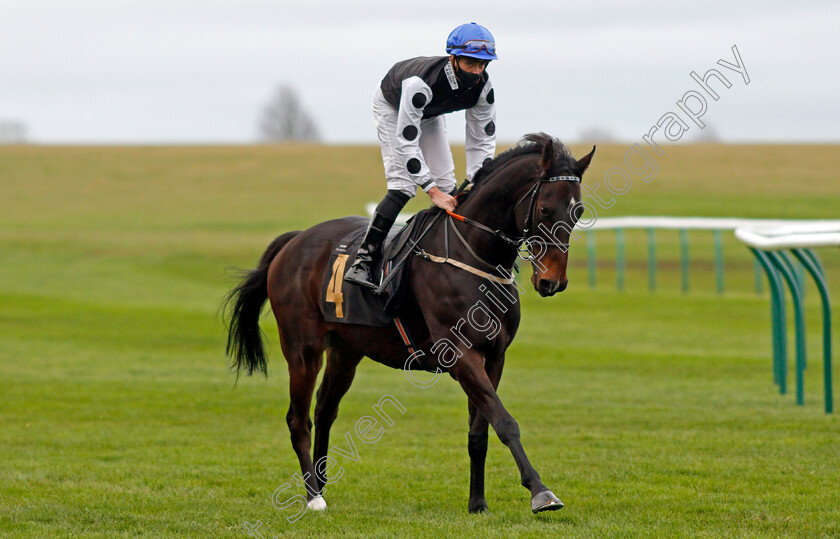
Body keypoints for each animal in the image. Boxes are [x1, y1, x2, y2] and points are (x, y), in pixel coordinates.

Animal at [225, 134, 596, 516]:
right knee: (299, 419)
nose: (553, 281)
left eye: (579, 212)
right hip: (303, 349)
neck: (474, 256)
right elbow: (505, 422)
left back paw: (321, 482)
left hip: (346, 351)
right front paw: (541, 492)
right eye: (546, 209)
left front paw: (477, 503)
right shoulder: (461, 355)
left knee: (325, 410)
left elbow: (480, 433)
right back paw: (313, 497)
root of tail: (295, 241)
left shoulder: (494, 357)